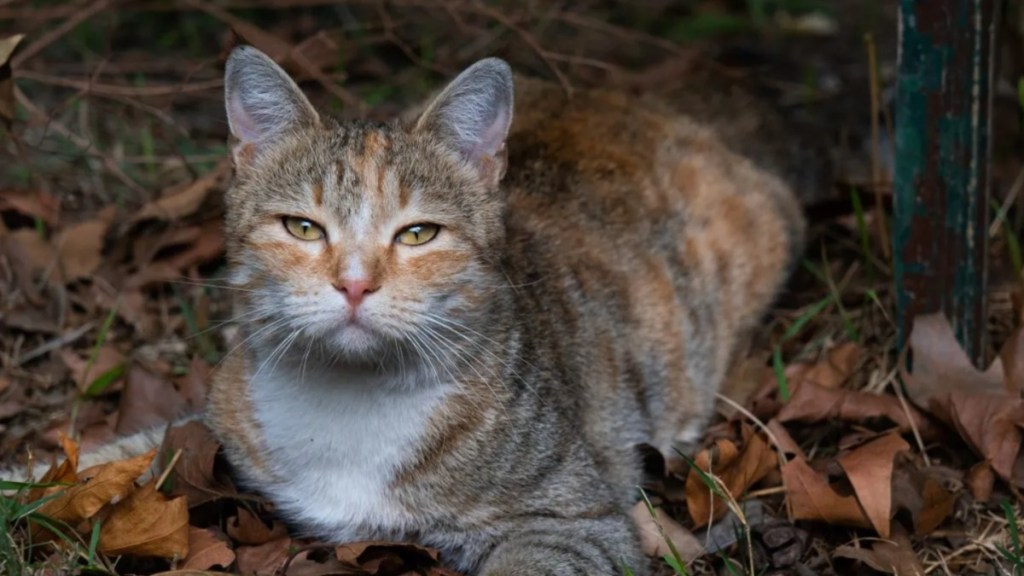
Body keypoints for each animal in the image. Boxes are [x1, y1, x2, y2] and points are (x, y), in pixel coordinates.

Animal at [8, 45, 806, 573]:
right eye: (303, 228)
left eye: (418, 233)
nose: (356, 283)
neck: (350, 403)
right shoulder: (215, 421)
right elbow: (113, 456)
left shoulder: (572, 515)